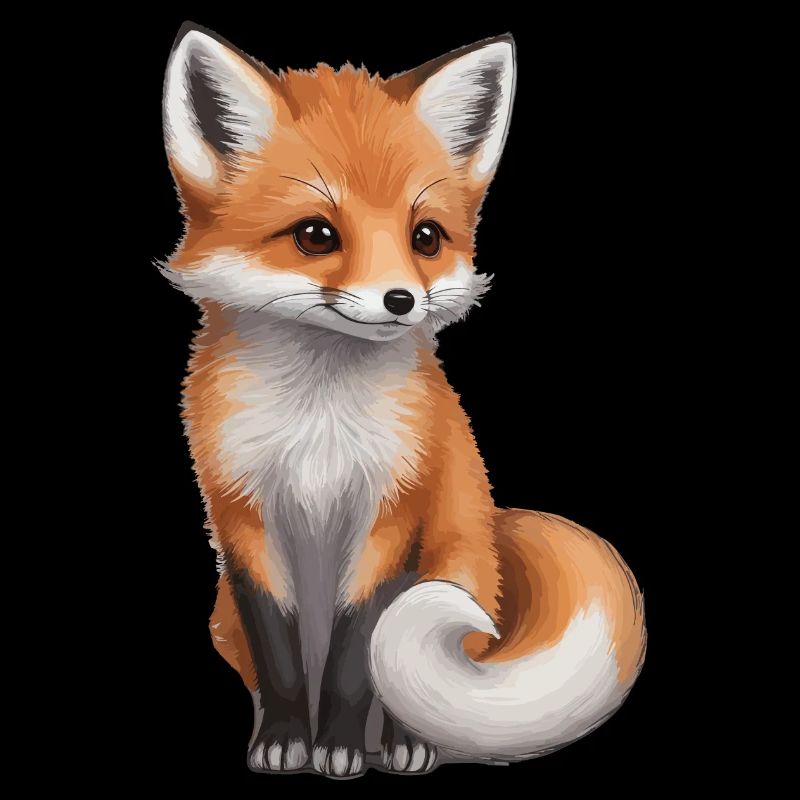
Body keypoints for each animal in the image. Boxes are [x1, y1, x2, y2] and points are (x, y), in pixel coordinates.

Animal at [159, 22, 646, 778]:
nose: (400, 301)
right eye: (316, 234)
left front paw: (337, 746)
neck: (320, 423)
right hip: (222, 617)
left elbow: (359, 650)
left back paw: (400, 743)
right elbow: (279, 648)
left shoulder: (393, 511)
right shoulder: (242, 516)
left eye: (425, 237)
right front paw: (287, 739)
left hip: (452, 563)